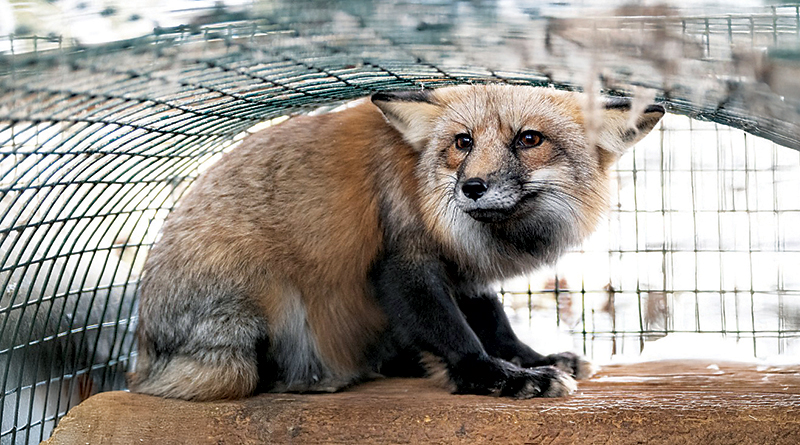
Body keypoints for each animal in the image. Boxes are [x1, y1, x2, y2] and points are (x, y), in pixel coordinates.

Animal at [129, 84, 664, 401]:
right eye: (463, 142)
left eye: (529, 139)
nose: (472, 187)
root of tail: (144, 364)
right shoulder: (403, 262)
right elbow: (458, 335)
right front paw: (497, 377)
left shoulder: (463, 270)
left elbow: (496, 326)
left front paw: (531, 359)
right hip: (258, 306)